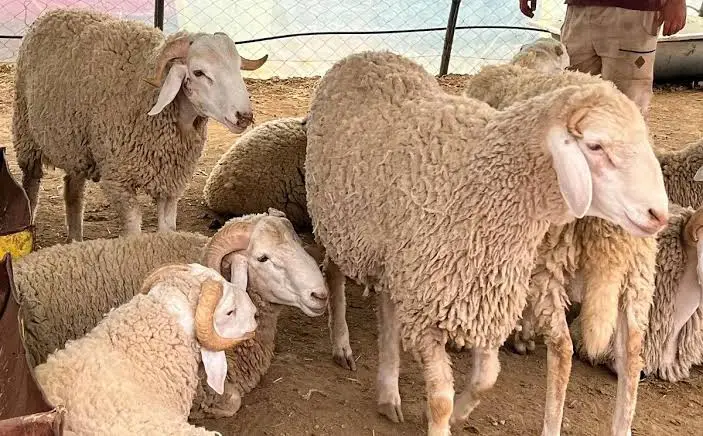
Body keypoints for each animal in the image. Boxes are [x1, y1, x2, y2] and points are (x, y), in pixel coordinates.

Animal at [13, 8, 268, 242]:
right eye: (198, 72)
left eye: (237, 67)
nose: (244, 116)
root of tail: (56, 11)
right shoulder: (119, 181)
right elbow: (134, 229)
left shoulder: (170, 184)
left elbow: (167, 228)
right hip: (26, 133)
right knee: (31, 185)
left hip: (76, 146)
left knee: (73, 191)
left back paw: (75, 239)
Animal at [304, 50, 669, 435]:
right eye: (595, 146)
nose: (658, 214)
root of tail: (369, 54)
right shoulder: (432, 312)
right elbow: (440, 400)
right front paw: (441, 419)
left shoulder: (483, 299)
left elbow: (486, 377)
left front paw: (460, 414)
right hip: (340, 225)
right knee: (332, 275)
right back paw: (341, 344)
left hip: (399, 259)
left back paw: (388, 392)